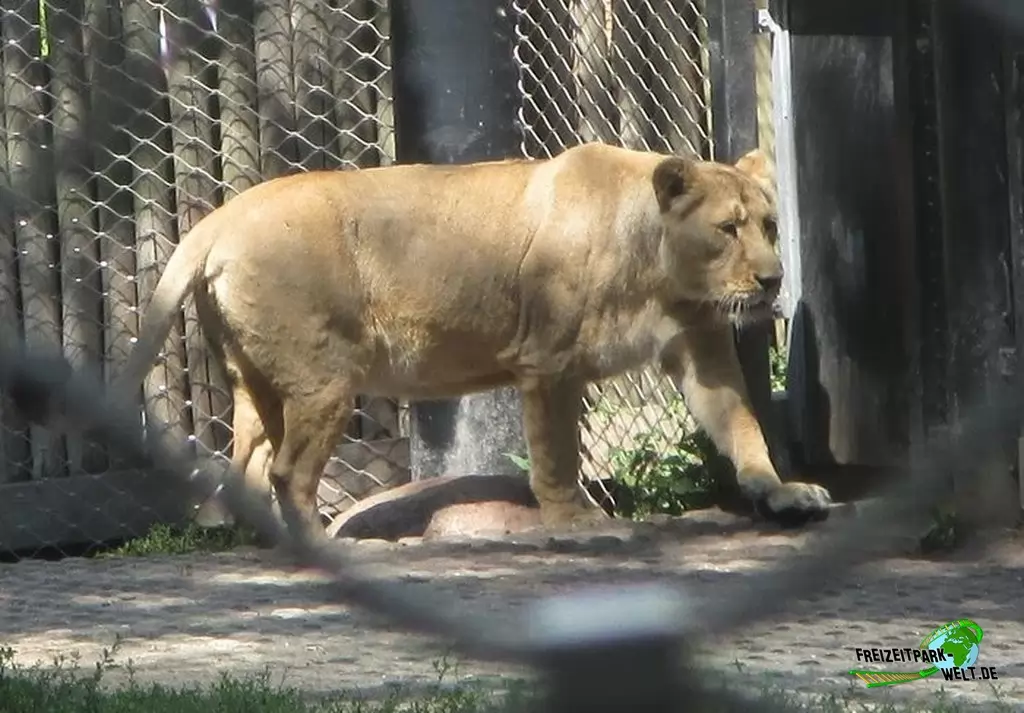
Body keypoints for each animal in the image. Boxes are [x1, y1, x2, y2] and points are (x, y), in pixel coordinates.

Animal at [114, 142, 832, 540]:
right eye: (728, 228)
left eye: (770, 224)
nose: (773, 279)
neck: (661, 274)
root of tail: (222, 214)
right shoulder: (548, 361)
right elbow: (555, 453)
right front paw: (574, 521)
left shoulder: (701, 350)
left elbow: (744, 426)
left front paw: (782, 492)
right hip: (324, 379)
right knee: (288, 471)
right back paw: (321, 544)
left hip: (257, 381)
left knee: (248, 464)